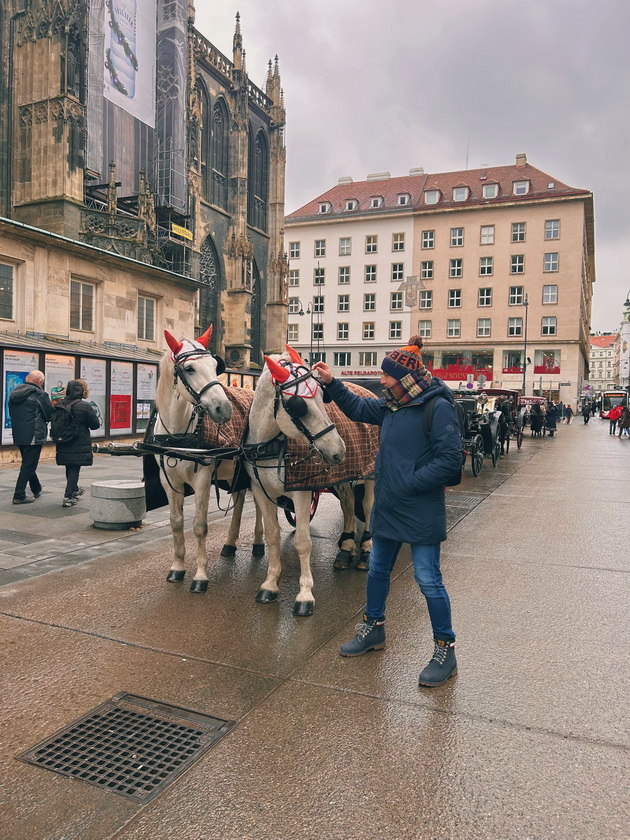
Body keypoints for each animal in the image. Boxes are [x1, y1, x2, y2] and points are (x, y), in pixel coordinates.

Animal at [156, 324, 237, 592]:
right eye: (189, 369)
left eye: (214, 365)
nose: (224, 408)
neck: (178, 434)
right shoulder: (169, 481)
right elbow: (176, 522)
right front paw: (177, 567)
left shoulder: (202, 479)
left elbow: (200, 527)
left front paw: (200, 576)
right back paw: (232, 543)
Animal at [244, 348, 370, 616]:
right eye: (298, 406)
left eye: (324, 395)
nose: (339, 450)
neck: (272, 444)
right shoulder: (260, 491)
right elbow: (272, 536)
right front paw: (270, 584)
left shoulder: (301, 491)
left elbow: (303, 542)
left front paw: (304, 594)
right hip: (342, 476)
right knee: (348, 504)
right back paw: (346, 547)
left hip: (370, 473)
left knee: (368, 506)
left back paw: (365, 549)